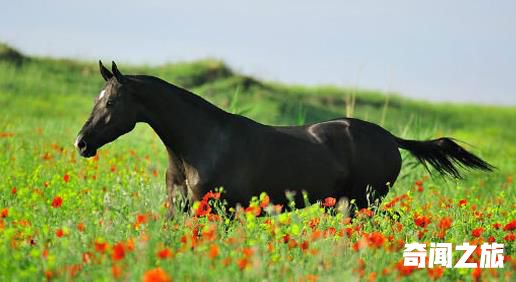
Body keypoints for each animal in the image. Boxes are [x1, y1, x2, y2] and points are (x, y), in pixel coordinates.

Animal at [74, 61, 494, 216]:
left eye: (110, 101)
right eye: (96, 99)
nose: (81, 143)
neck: (201, 145)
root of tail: (390, 137)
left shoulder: (222, 210)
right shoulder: (180, 208)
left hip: (364, 202)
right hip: (344, 204)